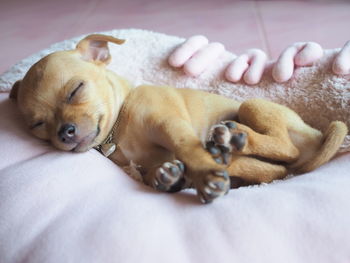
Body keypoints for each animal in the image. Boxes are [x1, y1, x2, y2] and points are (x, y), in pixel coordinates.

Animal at [8, 34, 348, 204]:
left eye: (76, 90)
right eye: (39, 125)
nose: (64, 132)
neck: (120, 128)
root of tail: (318, 134)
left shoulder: (168, 125)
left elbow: (187, 147)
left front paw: (205, 175)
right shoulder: (146, 162)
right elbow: (153, 172)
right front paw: (170, 177)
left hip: (252, 105)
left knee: (285, 152)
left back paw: (233, 140)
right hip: (259, 159)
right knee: (273, 169)